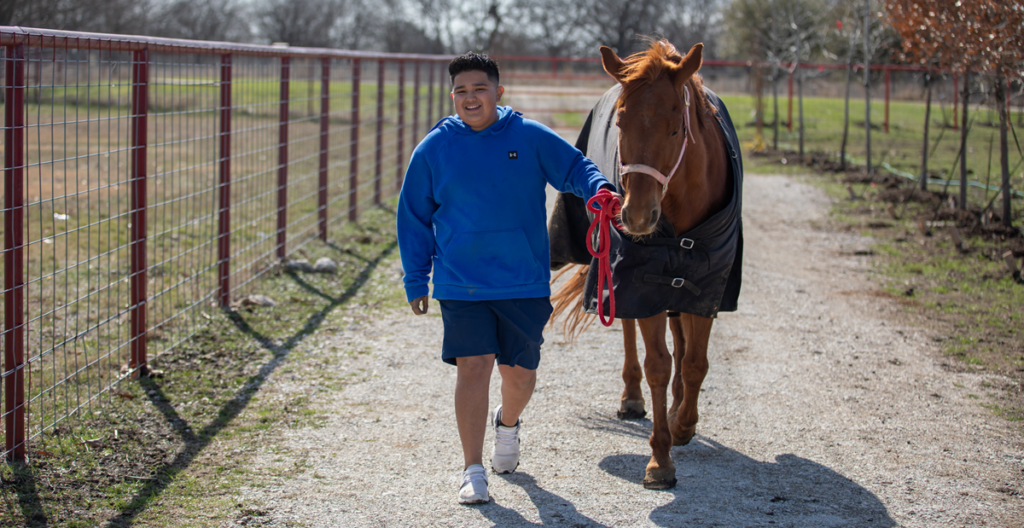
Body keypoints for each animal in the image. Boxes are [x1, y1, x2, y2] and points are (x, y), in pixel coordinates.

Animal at [552, 39, 737, 489]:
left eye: (676, 129)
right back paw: (634, 398)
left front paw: (684, 423)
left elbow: (694, 362)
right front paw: (660, 459)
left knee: (681, 337)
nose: (636, 216)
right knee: (630, 332)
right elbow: (658, 364)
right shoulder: (645, 280)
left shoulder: (706, 284)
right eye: (620, 124)